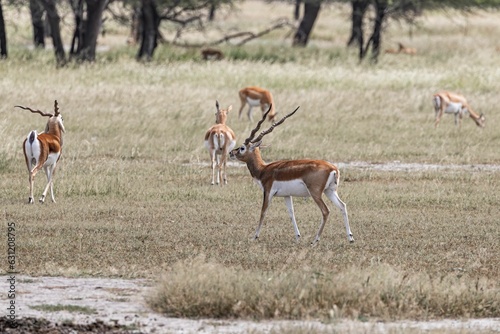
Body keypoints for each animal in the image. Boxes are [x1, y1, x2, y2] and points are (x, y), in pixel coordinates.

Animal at [229, 107, 354, 245]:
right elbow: (291, 213)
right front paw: (297, 236)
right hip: (330, 191)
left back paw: (315, 240)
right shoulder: (286, 195)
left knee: (326, 211)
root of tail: (333, 168)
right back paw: (350, 238)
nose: (231, 152)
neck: (263, 170)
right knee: (343, 206)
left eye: (242, 148)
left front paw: (254, 236)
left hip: (316, 193)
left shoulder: (268, 192)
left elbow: (263, 212)